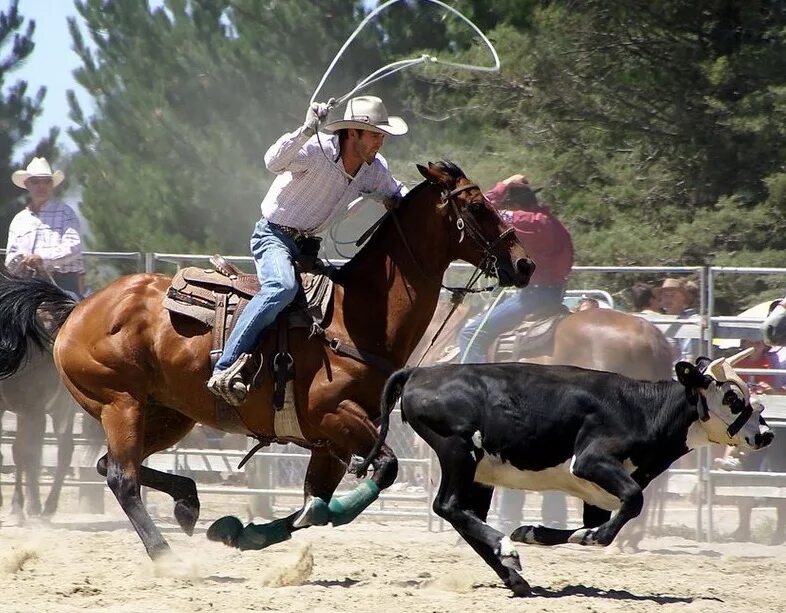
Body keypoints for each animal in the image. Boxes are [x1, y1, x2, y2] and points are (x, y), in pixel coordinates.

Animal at [0, 161, 532, 560]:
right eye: (478, 206)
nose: (524, 264)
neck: (353, 315)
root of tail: (75, 309)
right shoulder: (335, 417)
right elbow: (382, 471)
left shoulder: (330, 441)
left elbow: (315, 502)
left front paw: (244, 532)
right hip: (120, 403)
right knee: (120, 477)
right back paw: (167, 556)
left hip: (167, 414)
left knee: (108, 463)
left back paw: (189, 504)